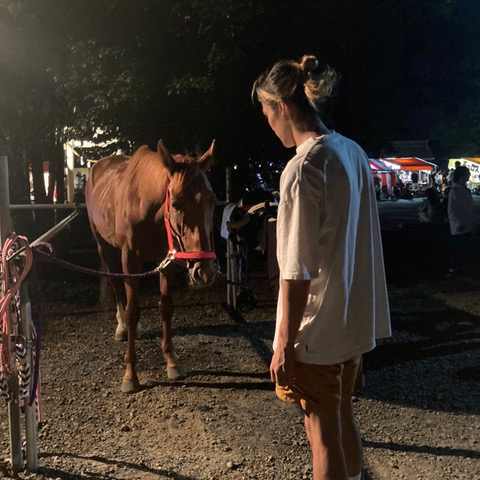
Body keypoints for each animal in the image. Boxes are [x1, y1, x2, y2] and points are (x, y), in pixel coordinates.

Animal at [85, 139, 217, 394]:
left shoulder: (167, 261)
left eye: (212, 201)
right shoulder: (130, 261)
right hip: (103, 246)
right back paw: (122, 327)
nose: (205, 272)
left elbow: (166, 307)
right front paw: (130, 374)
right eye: (175, 203)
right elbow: (133, 310)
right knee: (115, 284)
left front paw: (172, 361)